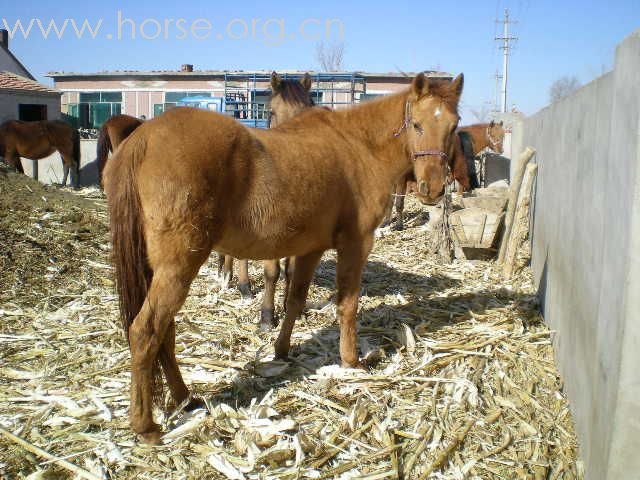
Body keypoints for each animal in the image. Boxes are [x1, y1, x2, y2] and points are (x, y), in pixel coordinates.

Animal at [106, 72, 464, 442]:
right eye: (417, 124)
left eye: (454, 125)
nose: (433, 188)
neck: (358, 146)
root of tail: (143, 138)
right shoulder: (355, 243)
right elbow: (347, 305)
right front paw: (351, 360)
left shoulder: (310, 249)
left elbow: (295, 299)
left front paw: (282, 349)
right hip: (179, 265)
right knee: (146, 331)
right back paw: (146, 425)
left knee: (166, 331)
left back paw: (184, 398)